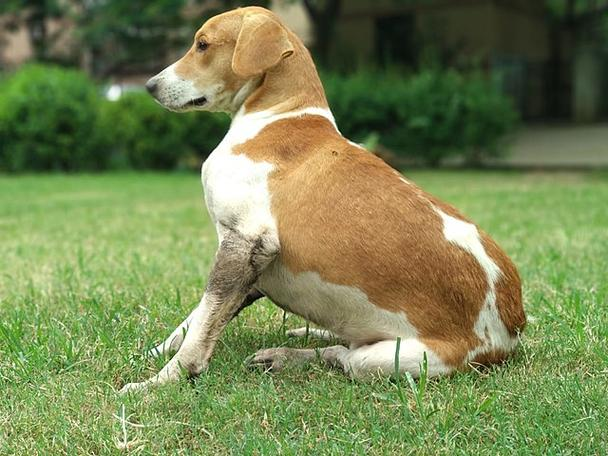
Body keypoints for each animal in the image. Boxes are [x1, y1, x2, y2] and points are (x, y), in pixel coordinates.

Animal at [120, 5, 528, 394]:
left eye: (202, 44)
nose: (149, 85)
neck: (276, 120)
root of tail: (509, 333)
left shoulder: (245, 243)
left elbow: (201, 329)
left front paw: (161, 381)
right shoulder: (250, 265)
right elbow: (194, 320)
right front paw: (152, 353)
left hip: (396, 358)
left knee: (343, 356)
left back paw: (288, 355)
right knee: (342, 343)